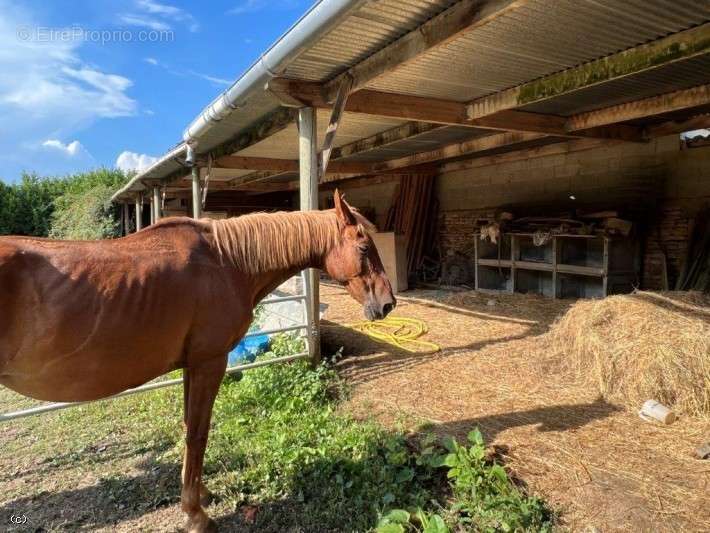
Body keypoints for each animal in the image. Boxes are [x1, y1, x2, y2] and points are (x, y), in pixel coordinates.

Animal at [0, 190, 394, 528]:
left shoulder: (192, 366)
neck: (226, 261)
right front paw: (195, 513)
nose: (388, 304)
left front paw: (199, 493)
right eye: (363, 246)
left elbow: (189, 427)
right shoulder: (209, 362)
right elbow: (198, 433)